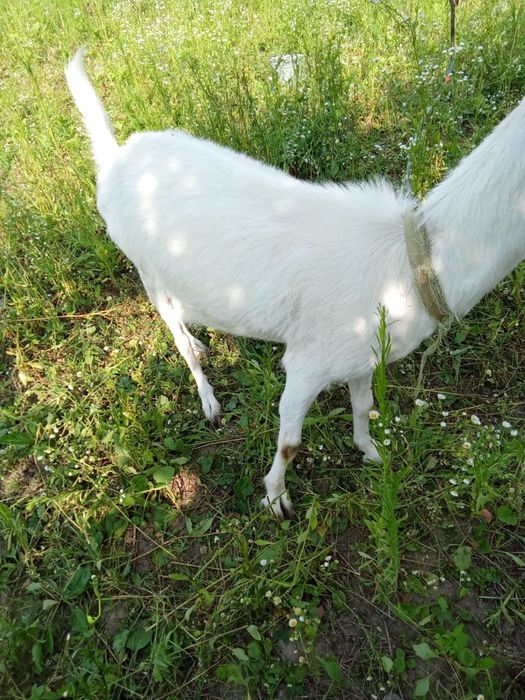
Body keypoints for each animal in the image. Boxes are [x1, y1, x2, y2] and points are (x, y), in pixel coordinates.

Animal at [66, 48, 525, 518]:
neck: (410, 264)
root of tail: (116, 160)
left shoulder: (362, 356)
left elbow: (364, 406)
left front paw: (372, 453)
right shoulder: (308, 362)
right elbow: (290, 442)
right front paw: (276, 498)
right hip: (146, 269)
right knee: (174, 332)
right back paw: (208, 399)